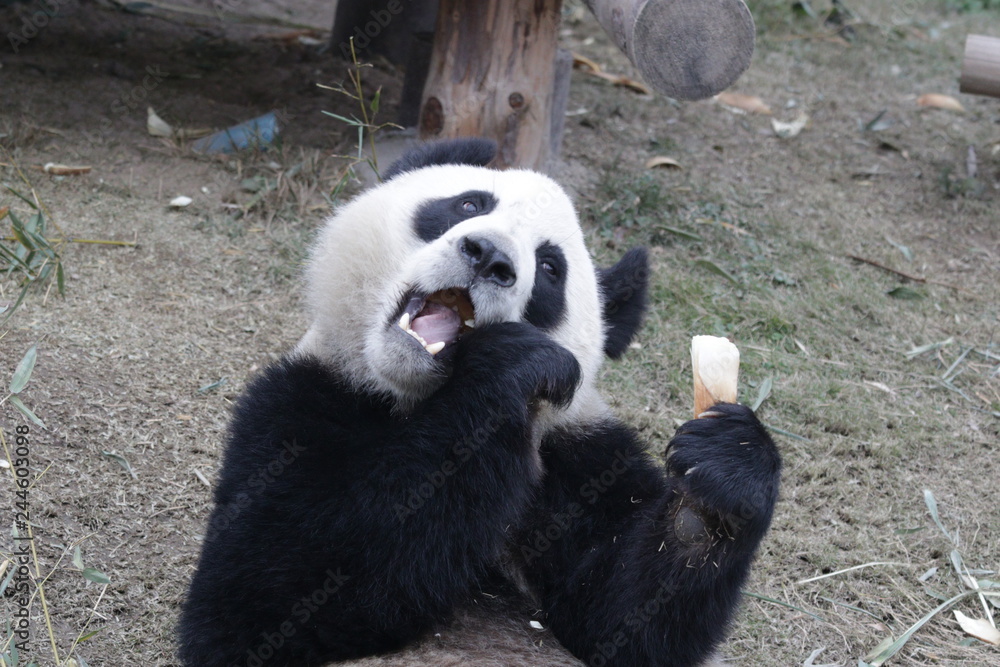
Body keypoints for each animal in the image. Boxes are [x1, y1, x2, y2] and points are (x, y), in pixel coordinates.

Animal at [177, 138, 781, 667]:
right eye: (469, 204)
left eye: (550, 268)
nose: (489, 255)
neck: (411, 395)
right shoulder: (300, 401)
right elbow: (263, 595)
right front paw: (509, 365)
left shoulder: (578, 457)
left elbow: (624, 624)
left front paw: (717, 483)